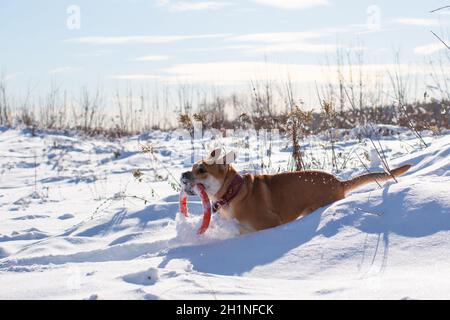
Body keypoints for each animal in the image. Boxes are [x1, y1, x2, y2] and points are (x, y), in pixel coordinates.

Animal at [182, 149, 412, 234]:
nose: (183, 174)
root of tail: (339, 182)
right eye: (192, 167)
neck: (233, 191)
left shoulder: (268, 224)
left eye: (201, 170)